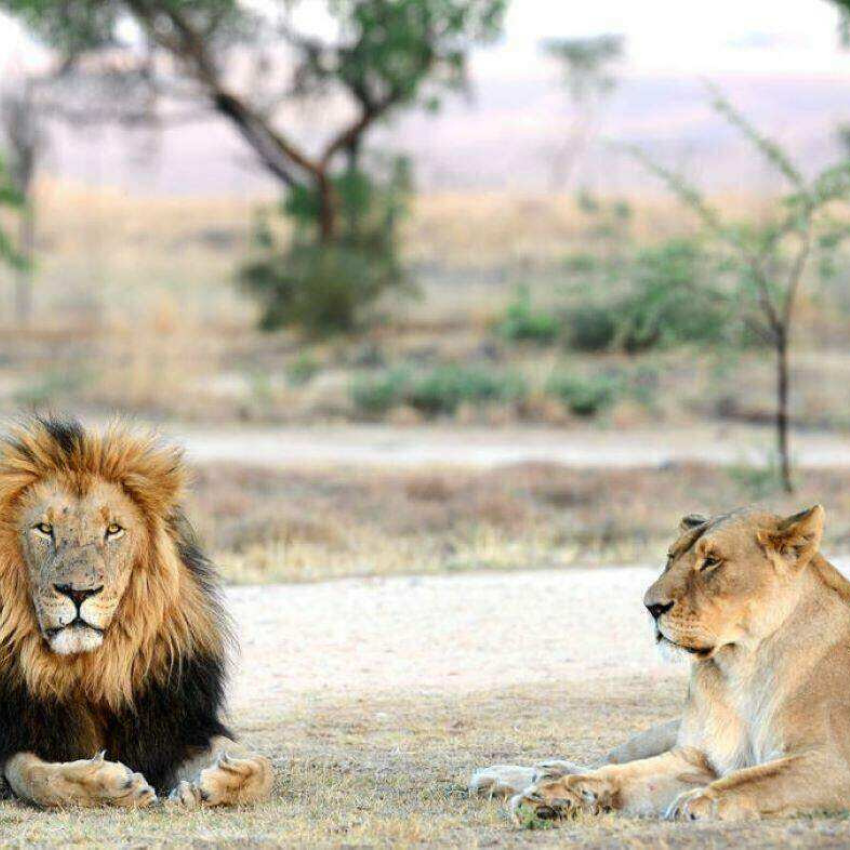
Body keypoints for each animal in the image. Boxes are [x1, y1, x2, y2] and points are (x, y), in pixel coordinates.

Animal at [0, 417, 272, 808]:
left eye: (113, 530)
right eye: (44, 529)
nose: (79, 592)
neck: (93, 669)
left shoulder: (179, 725)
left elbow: (262, 767)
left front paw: (216, 782)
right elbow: (37, 777)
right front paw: (111, 782)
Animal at [471, 505, 850, 821]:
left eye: (711, 561)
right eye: (670, 557)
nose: (650, 606)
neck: (742, 665)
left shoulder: (833, 761)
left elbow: (756, 779)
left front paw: (699, 801)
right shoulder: (695, 758)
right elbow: (618, 774)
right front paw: (551, 796)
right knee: (603, 760)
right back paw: (516, 776)